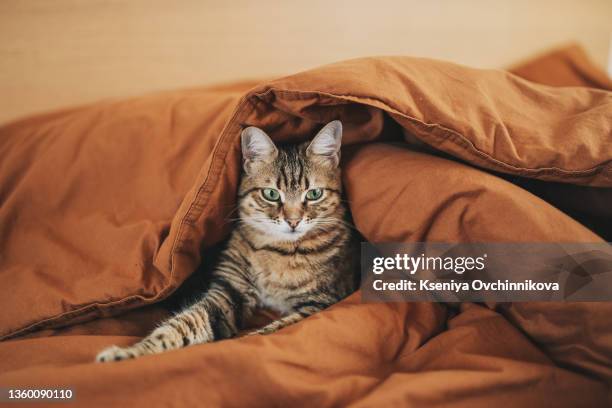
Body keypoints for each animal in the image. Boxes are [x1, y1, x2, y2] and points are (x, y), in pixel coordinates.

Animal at [95, 119, 354, 362]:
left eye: (314, 194)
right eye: (271, 194)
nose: (293, 221)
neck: (279, 252)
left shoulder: (321, 302)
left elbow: (272, 330)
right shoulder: (228, 292)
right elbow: (181, 325)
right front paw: (130, 353)